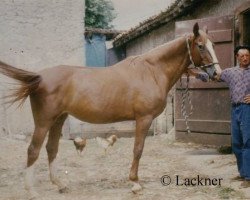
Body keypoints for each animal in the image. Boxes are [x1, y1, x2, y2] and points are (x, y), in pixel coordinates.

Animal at [0, 22, 221, 198]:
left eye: (213, 44)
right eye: (201, 46)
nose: (217, 73)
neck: (151, 71)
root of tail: (39, 77)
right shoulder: (144, 119)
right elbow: (138, 149)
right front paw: (134, 183)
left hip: (58, 119)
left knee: (51, 148)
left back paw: (60, 185)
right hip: (44, 121)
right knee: (33, 150)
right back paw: (32, 190)